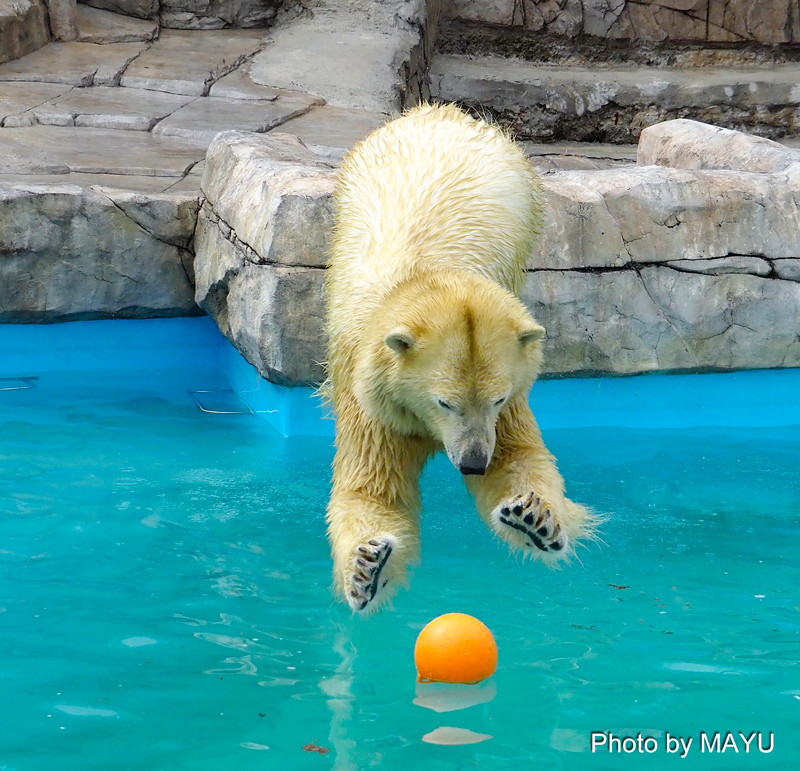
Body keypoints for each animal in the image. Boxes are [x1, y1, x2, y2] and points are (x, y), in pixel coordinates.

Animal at [322, 102, 592, 612]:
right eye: (444, 402)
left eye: (496, 400)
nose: (471, 463)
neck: (432, 278)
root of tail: (442, 111)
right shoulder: (372, 398)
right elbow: (371, 489)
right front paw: (368, 567)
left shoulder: (509, 392)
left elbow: (518, 456)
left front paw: (534, 518)